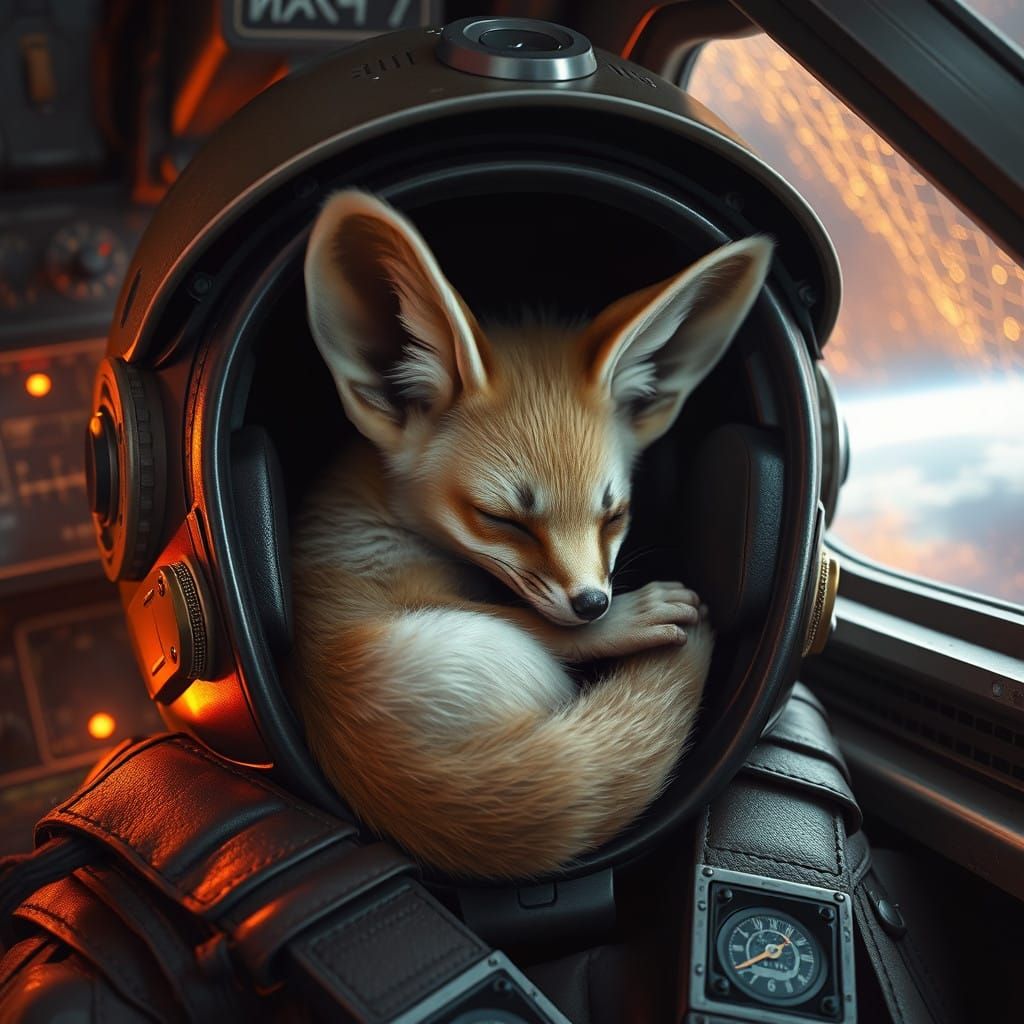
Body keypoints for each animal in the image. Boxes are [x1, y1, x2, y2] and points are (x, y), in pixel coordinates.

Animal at [289, 190, 772, 879]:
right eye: (503, 520)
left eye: (614, 514)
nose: (594, 602)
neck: (366, 510)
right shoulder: (421, 595)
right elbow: (543, 625)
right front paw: (628, 619)